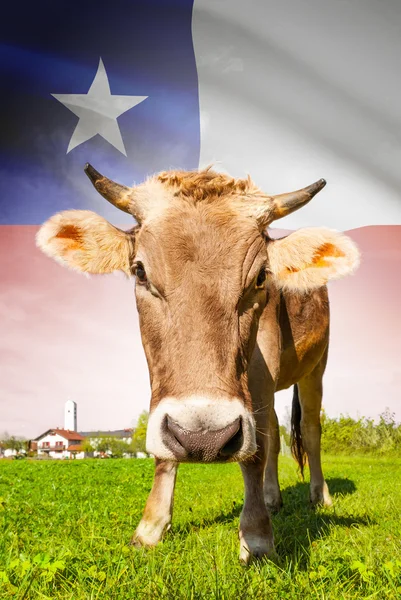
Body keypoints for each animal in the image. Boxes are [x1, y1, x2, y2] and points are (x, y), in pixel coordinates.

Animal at [36, 164, 358, 564]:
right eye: (139, 271)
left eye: (261, 277)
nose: (203, 438)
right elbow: (167, 448)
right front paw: (150, 527)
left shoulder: (263, 365)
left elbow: (255, 452)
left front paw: (257, 536)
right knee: (271, 430)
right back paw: (272, 497)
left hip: (316, 368)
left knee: (310, 431)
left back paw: (319, 496)